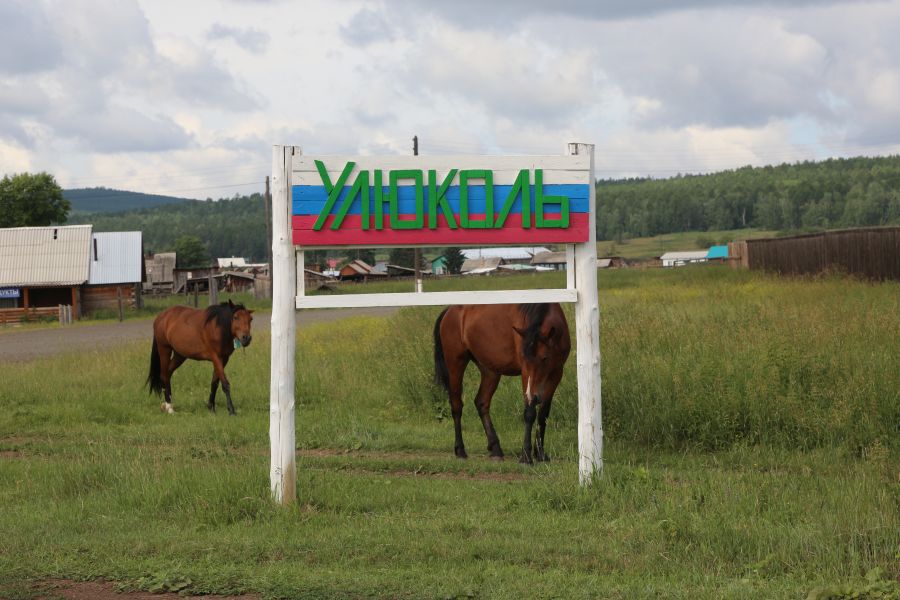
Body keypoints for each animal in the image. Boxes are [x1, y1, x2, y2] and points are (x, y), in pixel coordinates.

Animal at [433, 303, 571, 464]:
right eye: (524, 357)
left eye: (544, 358)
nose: (534, 395)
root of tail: (450, 310)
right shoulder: (526, 374)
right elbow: (530, 413)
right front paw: (526, 456)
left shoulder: (556, 374)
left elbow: (543, 414)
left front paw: (540, 454)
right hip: (456, 364)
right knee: (456, 406)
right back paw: (460, 450)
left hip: (490, 371)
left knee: (481, 402)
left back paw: (496, 449)